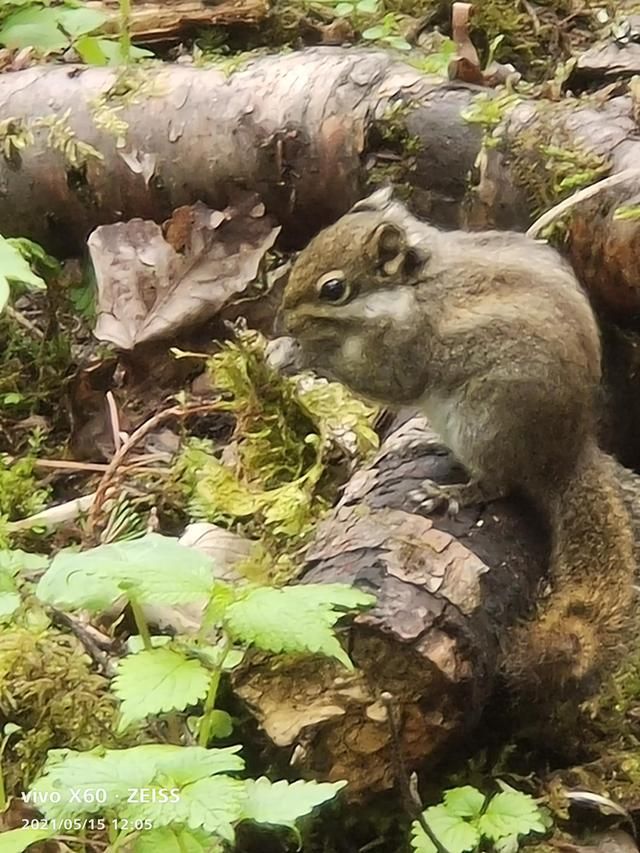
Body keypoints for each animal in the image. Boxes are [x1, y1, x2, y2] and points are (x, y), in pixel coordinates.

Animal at [278, 186, 636, 700]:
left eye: (333, 289)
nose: (284, 320)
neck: (410, 291)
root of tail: (564, 454)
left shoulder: (407, 348)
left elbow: (383, 380)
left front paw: (299, 353)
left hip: (485, 421)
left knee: (499, 484)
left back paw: (451, 493)